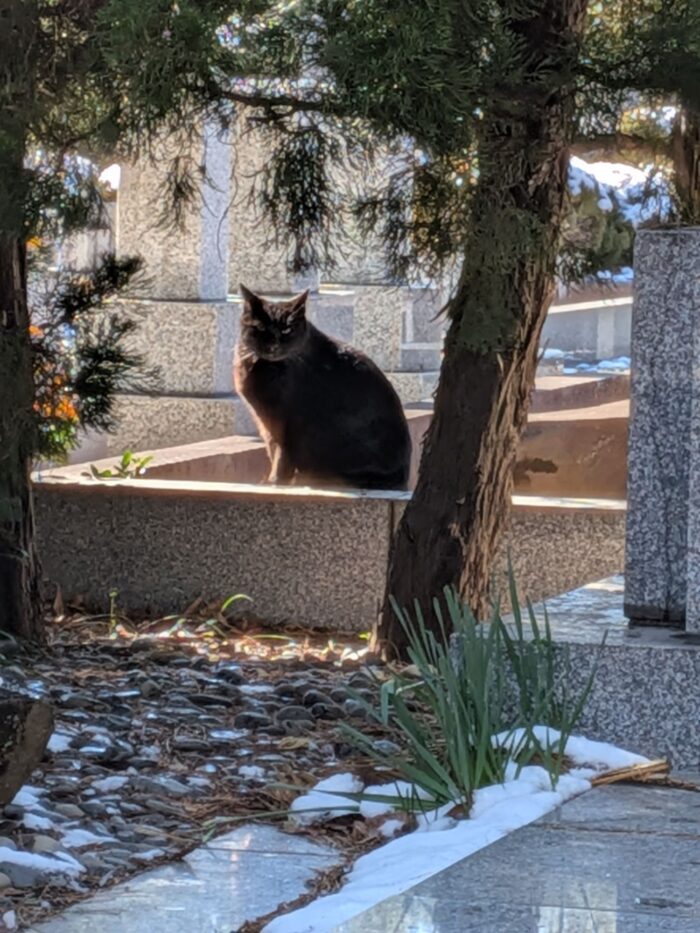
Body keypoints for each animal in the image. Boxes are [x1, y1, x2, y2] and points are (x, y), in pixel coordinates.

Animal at [233, 284, 411, 489]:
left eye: (287, 330)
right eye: (260, 327)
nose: (274, 345)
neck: (264, 365)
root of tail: (404, 477)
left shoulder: (283, 420)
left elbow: (280, 454)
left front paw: (275, 482)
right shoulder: (265, 421)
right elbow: (272, 450)